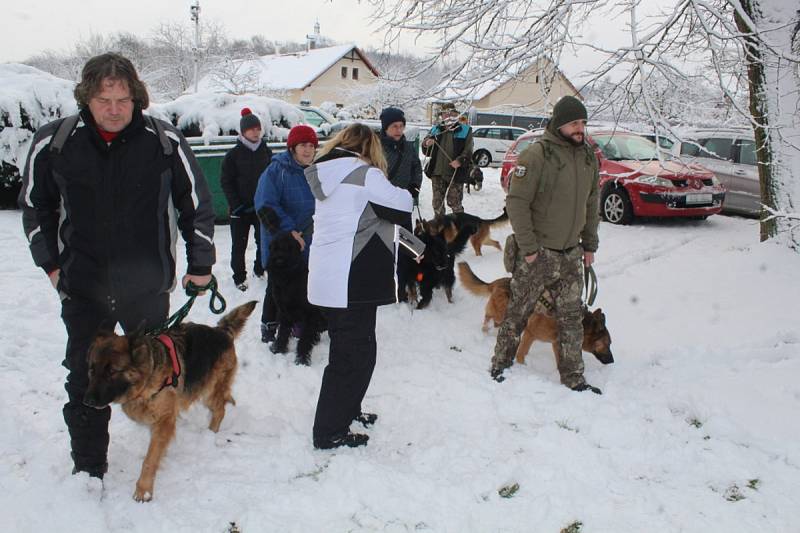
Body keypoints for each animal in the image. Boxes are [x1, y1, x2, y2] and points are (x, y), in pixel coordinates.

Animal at [83, 302, 256, 500]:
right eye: (92, 369)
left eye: (112, 372)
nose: (87, 401)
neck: (147, 376)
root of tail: (222, 331)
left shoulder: (164, 420)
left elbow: (150, 459)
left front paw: (144, 490)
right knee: (226, 399)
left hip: (209, 392)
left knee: (220, 410)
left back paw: (211, 434)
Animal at [264, 233, 324, 366]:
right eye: (273, 247)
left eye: (287, 247)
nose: (278, 258)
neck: (289, 278)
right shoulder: (284, 311)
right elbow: (282, 332)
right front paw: (278, 349)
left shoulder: (311, 315)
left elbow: (304, 340)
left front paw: (302, 360)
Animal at [456, 262, 612, 366]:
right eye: (607, 344)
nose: (612, 361)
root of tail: (497, 282)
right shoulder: (530, 334)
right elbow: (521, 353)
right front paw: (522, 366)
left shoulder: (555, 344)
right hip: (500, 313)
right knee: (489, 316)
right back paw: (485, 330)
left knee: (496, 322)